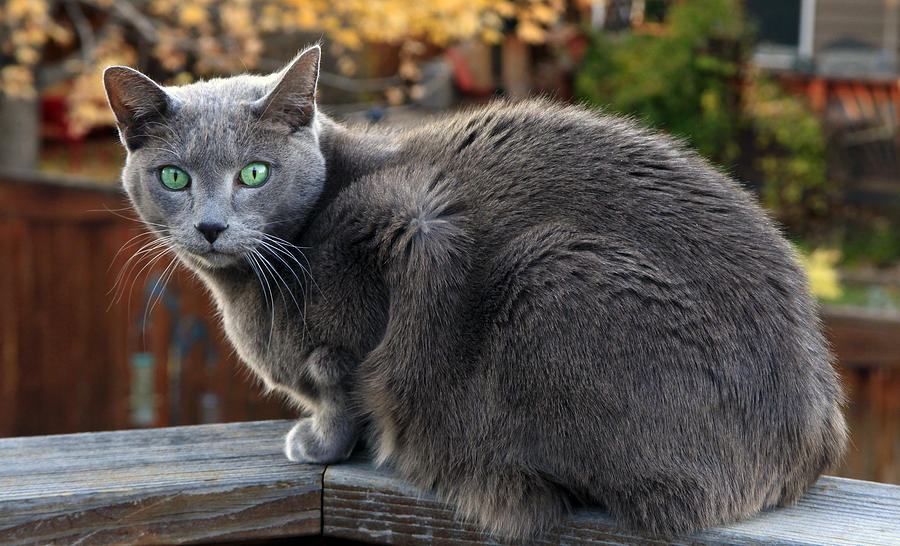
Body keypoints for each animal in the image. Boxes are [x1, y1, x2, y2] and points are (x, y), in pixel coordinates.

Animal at [103, 45, 844, 536]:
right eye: (174, 178)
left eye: (254, 173)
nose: (211, 225)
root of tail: (813, 434)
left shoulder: (411, 228)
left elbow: (348, 385)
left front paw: (322, 441)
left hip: (552, 275)